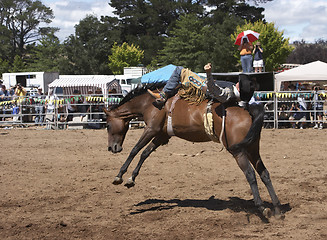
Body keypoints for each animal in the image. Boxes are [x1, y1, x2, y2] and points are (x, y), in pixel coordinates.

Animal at [105, 82, 284, 219]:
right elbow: (145, 153)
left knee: (251, 174)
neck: (149, 102)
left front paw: (119, 176)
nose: (112, 148)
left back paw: (262, 208)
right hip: (253, 149)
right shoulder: (162, 135)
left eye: (107, 125)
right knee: (264, 173)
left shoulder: (151, 129)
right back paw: (277, 209)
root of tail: (248, 109)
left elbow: (135, 149)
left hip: (238, 151)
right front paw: (131, 179)